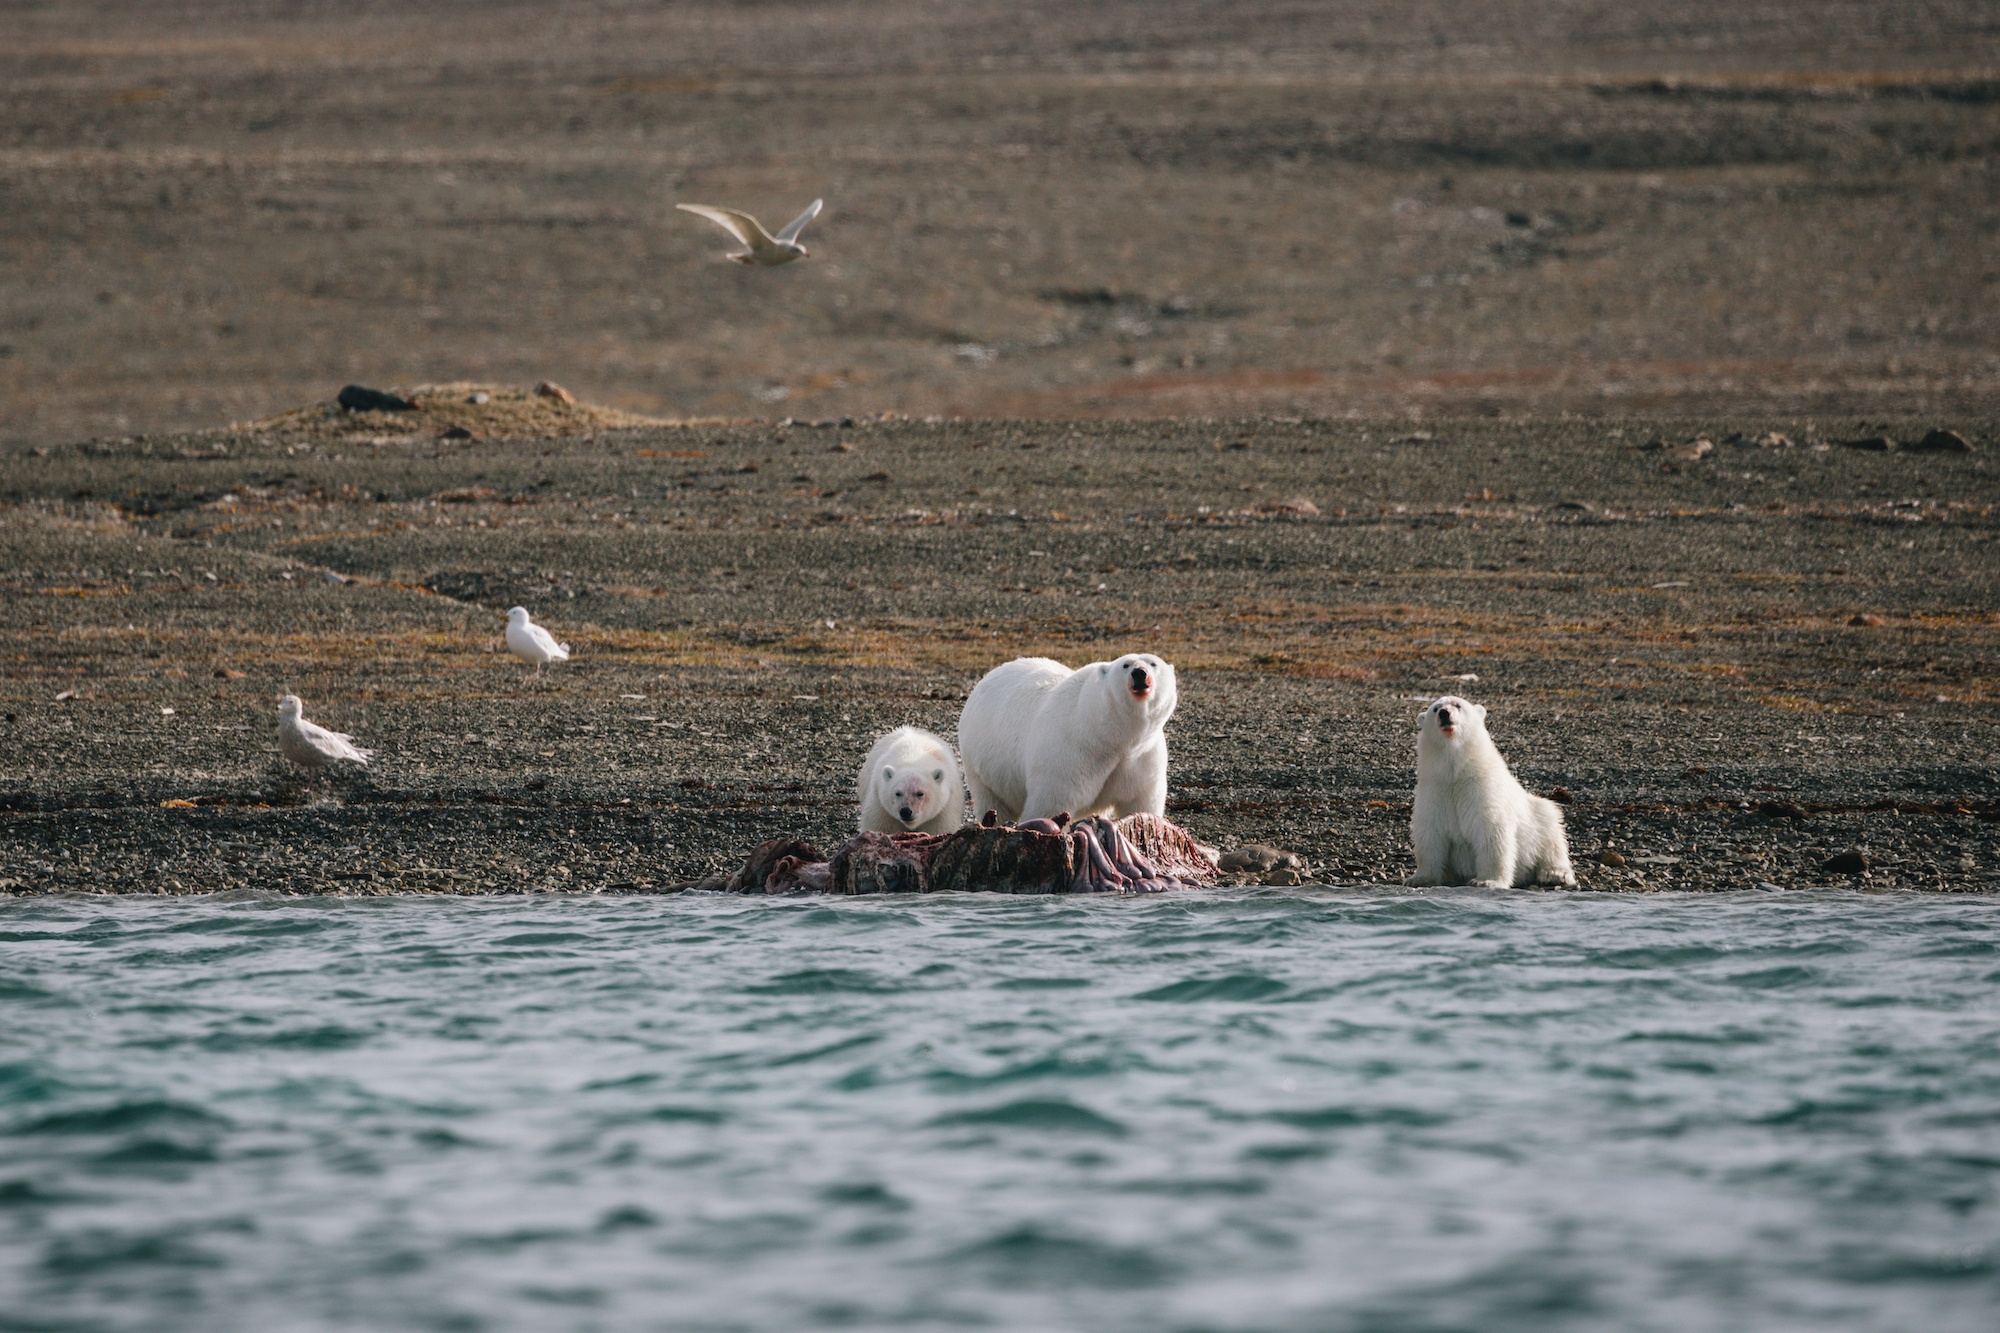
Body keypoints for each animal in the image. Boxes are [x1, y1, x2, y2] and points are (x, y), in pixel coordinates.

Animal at [956, 653, 1178, 824]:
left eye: (1153, 663)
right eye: (1126, 665)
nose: (1139, 673)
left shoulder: (1142, 758)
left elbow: (1140, 800)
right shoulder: (1072, 751)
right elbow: (1052, 803)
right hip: (982, 765)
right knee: (993, 802)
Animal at [1406, 695, 1575, 888]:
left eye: (1458, 705)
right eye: (1435, 709)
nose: (1444, 713)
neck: (1456, 772)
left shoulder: (1482, 787)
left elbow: (1492, 831)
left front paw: (1486, 881)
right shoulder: (1435, 788)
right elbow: (1429, 833)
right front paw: (1419, 878)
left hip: (1539, 819)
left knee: (1552, 839)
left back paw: (1555, 874)